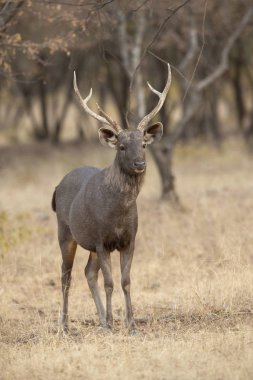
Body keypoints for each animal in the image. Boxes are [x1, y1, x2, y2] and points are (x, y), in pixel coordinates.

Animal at [52, 63, 172, 334]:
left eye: (144, 145)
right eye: (121, 147)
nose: (140, 164)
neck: (118, 214)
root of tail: (56, 188)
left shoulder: (129, 240)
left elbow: (125, 281)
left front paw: (130, 324)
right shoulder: (101, 240)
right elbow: (109, 282)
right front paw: (114, 322)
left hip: (88, 244)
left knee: (88, 272)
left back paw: (101, 319)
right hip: (66, 233)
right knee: (66, 275)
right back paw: (65, 324)